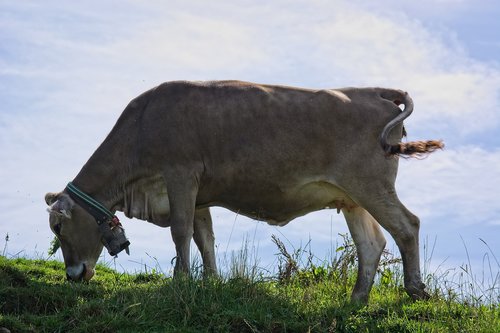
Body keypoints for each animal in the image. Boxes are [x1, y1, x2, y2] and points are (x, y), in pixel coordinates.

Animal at [44, 80, 442, 300]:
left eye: (58, 226)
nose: (73, 275)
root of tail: (374, 91)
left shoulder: (180, 173)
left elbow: (180, 232)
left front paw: (180, 281)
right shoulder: (198, 192)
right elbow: (204, 237)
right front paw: (210, 282)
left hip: (371, 184)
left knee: (407, 226)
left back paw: (414, 290)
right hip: (352, 197)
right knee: (371, 243)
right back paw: (356, 298)